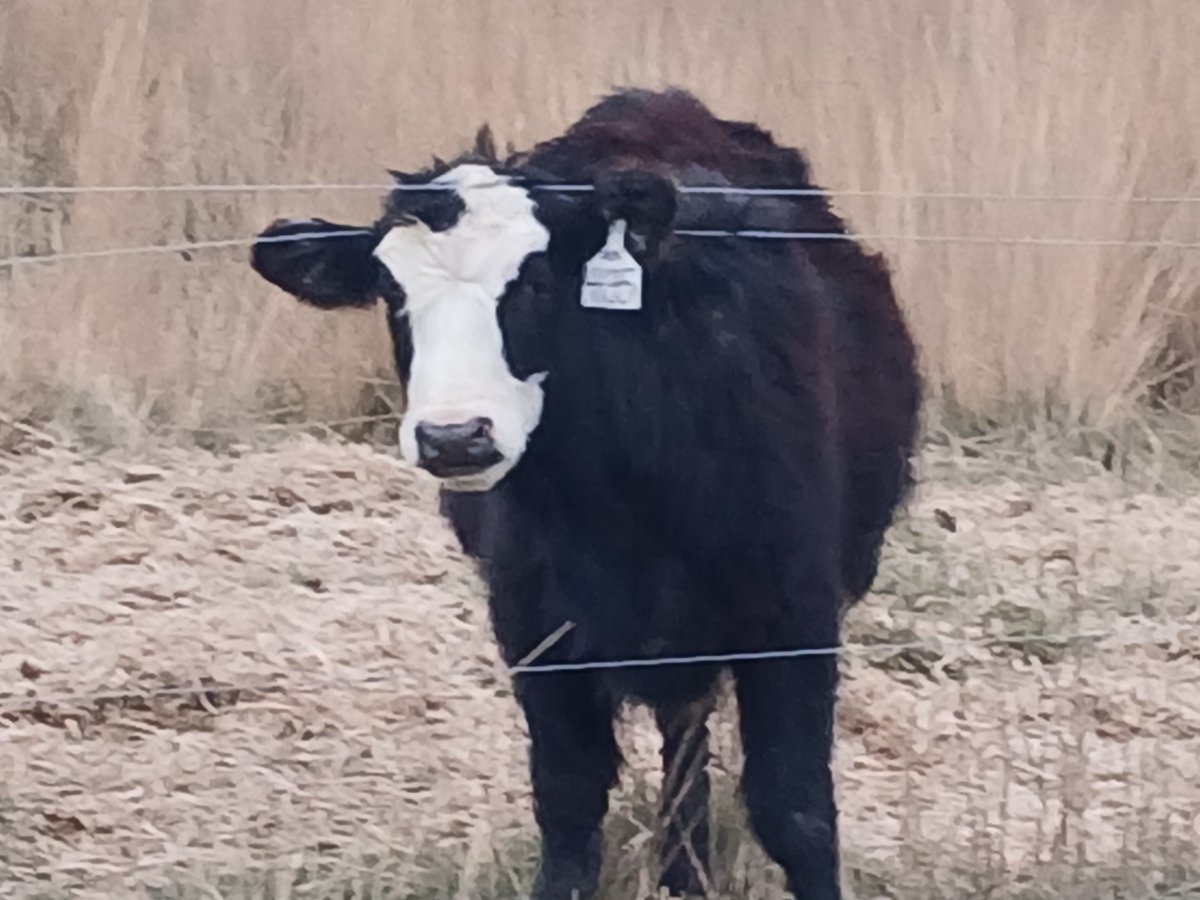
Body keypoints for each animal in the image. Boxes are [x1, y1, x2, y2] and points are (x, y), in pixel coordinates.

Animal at [249, 87, 921, 900]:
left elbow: (797, 813)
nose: (454, 437)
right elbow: (568, 809)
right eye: (392, 293)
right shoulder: (536, 629)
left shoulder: (794, 614)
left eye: (536, 281)